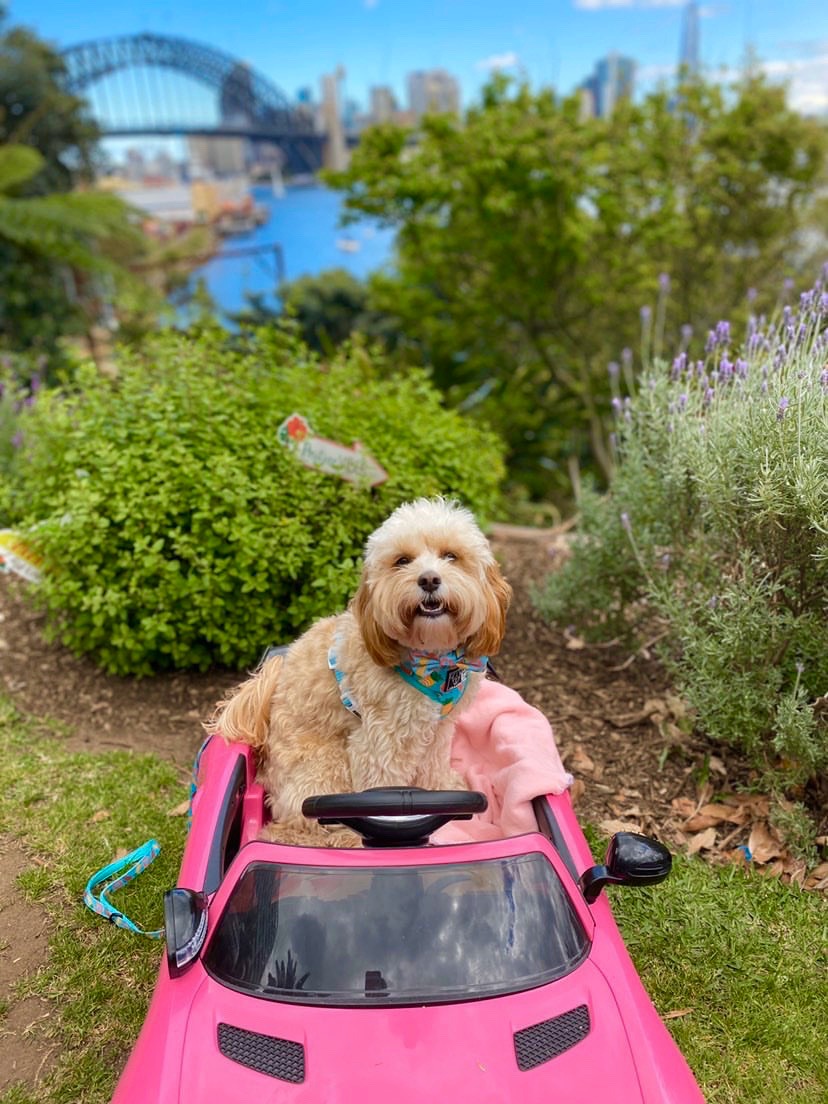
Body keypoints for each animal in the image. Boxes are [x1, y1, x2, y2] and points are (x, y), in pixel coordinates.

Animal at [207, 496, 512, 847]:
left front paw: (443, 788)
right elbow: (384, 786)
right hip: (325, 769)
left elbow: (433, 764)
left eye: (451, 556)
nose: (429, 580)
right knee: (301, 825)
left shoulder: (439, 727)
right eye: (402, 561)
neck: (435, 659)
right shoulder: (380, 737)